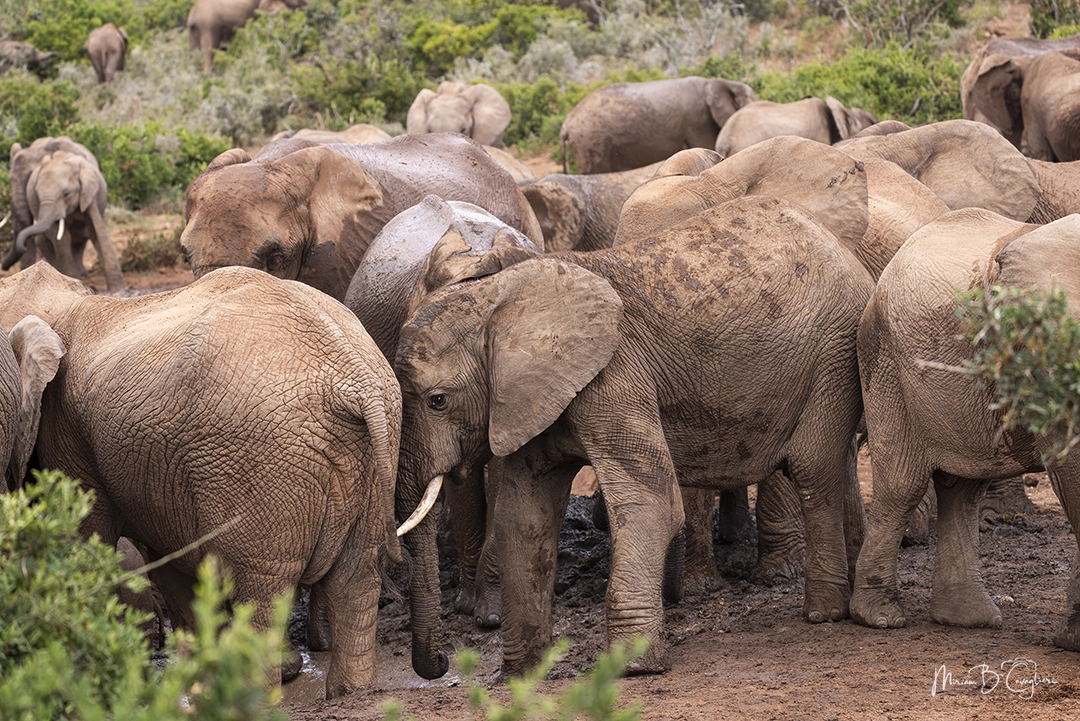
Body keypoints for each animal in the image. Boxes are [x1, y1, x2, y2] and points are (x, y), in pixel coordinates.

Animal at [0, 261, 428, 697]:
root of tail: (353, 376)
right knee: (356, 576)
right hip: (371, 449)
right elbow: (169, 557)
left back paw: (253, 698)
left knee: (262, 588)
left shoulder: (70, 438)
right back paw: (352, 693)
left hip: (260, 460)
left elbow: (93, 541)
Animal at [3, 137, 126, 292]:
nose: (5, 268)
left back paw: (81, 274)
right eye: (9, 180)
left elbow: (97, 231)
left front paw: (119, 290)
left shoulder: (88, 193)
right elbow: (60, 238)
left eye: (66, 194)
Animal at [393, 194, 874, 675]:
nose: (442, 662)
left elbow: (651, 504)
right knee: (838, 463)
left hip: (834, 348)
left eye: (437, 400)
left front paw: (633, 667)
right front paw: (522, 674)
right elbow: (524, 518)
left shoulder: (614, 376)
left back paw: (824, 612)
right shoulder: (527, 399)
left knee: (812, 469)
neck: (497, 297)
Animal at [850, 209, 1080, 651]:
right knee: (902, 486)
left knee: (964, 488)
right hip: (885, 361)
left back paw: (967, 618)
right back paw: (879, 618)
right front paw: (1075, 641)